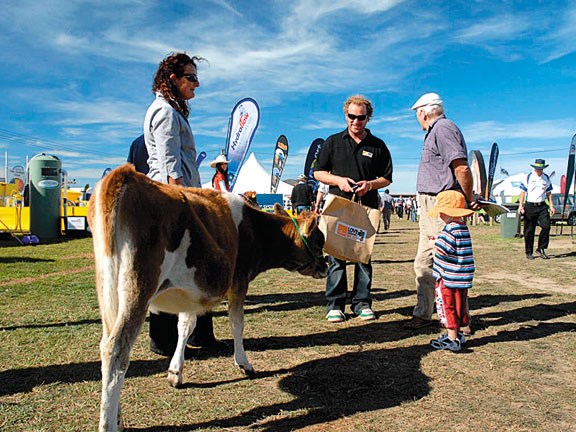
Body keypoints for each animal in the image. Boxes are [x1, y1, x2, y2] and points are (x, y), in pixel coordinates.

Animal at [88, 164, 326, 430]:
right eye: (320, 240)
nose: (326, 266)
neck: (255, 228)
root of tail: (125, 174)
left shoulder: (191, 292)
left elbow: (185, 326)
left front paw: (176, 372)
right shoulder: (239, 281)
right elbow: (237, 324)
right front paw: (244, 363)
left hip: (107, 287)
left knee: (107, 341)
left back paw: (117, 416)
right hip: (138, 287)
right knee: (116, 348)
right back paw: (108, 424)